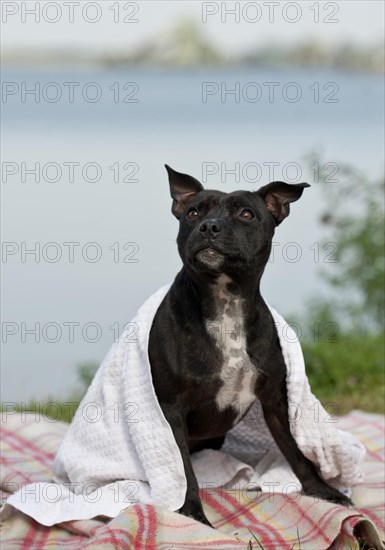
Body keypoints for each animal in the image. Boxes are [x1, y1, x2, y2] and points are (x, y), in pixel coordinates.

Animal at [148, 165, 352, 532]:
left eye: (246, 214)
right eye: (193, 212)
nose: (209, 227)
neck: (226, 301)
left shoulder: (275, 400)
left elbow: (297, 451)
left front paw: (323, 492)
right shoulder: (171, 409)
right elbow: (183, 470)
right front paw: (193, 513)